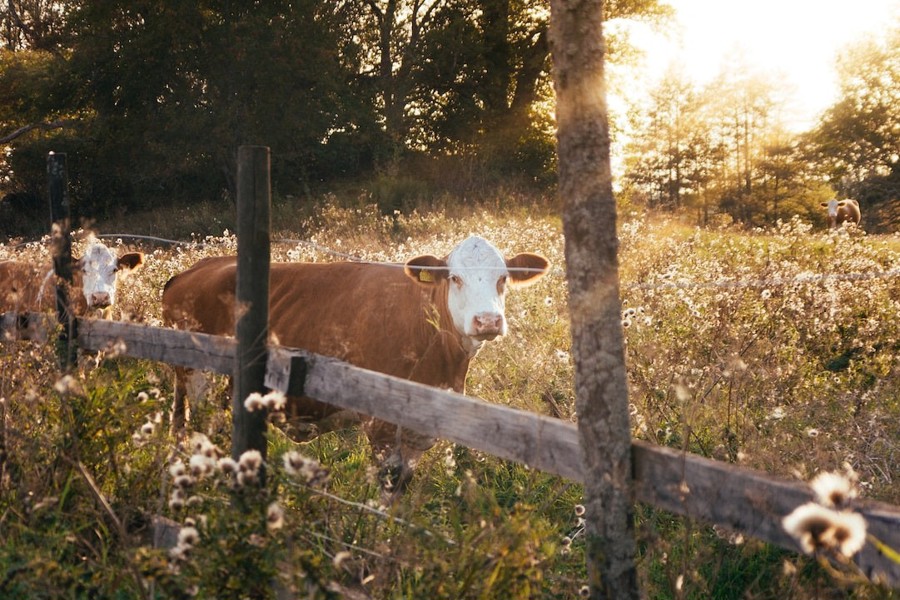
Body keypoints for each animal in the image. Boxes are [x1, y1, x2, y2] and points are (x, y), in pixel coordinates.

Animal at [165, 234, 552, 492]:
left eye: (503, 278)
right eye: (455, 278)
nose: (487, 321)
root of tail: (196, 268)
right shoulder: (380, 426)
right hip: (198, 378)